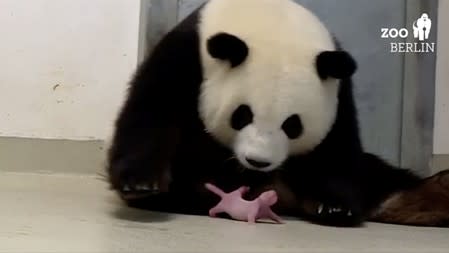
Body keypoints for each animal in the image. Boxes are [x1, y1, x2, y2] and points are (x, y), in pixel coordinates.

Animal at [107, 0, 446, 227]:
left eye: (292, 125)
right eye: (242, 115)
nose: (258, 162)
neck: (271, 18)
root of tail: (281, 196)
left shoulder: (339, 87)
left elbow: (335, 147)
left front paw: (334, 206)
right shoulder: (186, 56)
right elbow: (151, 112)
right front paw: (141, 185)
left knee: (380, 177)